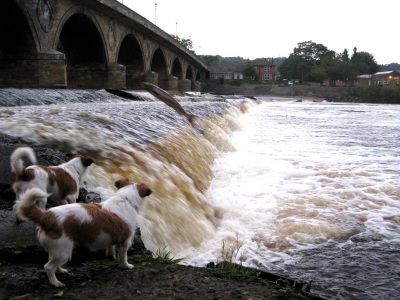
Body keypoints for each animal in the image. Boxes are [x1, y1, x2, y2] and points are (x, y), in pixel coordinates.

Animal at [14, 179, 152, 288]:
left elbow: (111, 248)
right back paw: (55, 283)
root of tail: (46, 217)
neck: (125, 199)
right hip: (63, 250)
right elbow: (123, 256)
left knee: (52, 262)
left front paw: (111, 255)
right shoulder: (124, 241)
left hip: (56, 249)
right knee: (48, 267)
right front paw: (126, 266)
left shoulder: (113, 238)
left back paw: (60, 270)